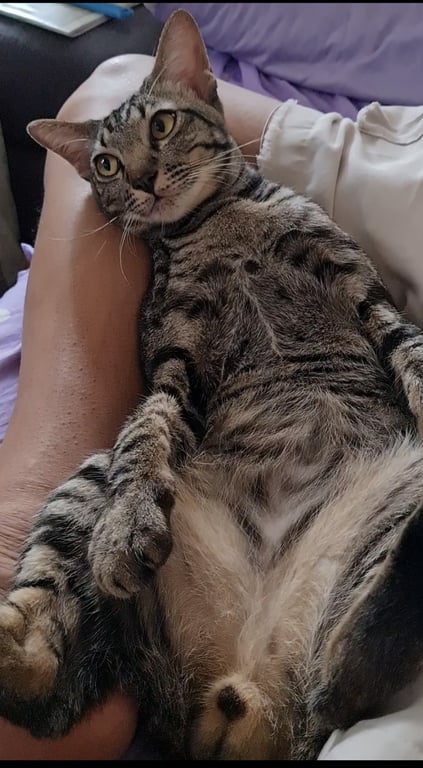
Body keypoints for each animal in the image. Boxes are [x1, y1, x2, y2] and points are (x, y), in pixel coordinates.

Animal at [1, 9, 423, 760]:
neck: (218, 223)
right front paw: (123, 527)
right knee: (40, 687)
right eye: (106, 164)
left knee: (352, 672)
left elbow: (414, 353)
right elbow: (146, 432)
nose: (142, 178)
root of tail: (250, 677)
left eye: (163, 124)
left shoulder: (364, 292)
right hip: (89, 476)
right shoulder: (174, 356)